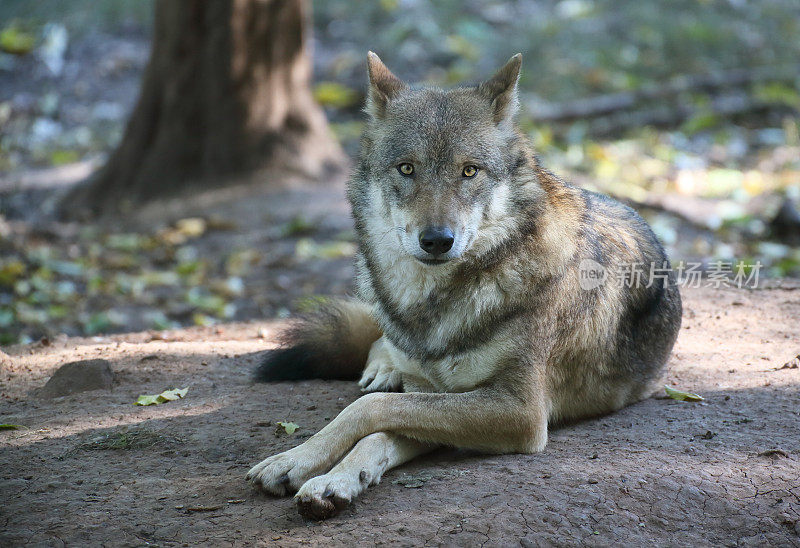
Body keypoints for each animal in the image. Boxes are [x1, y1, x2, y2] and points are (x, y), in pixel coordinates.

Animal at [245, 53, 680, 520]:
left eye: (469, 171)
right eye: (407, 168)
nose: (437, 240)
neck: (433, 307)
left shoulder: (518, 411)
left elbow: (369, 414)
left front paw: (321, 475)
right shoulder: (434, 395)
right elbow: (375, 424)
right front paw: (305, 466)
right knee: (380, 343)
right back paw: (382, 367)